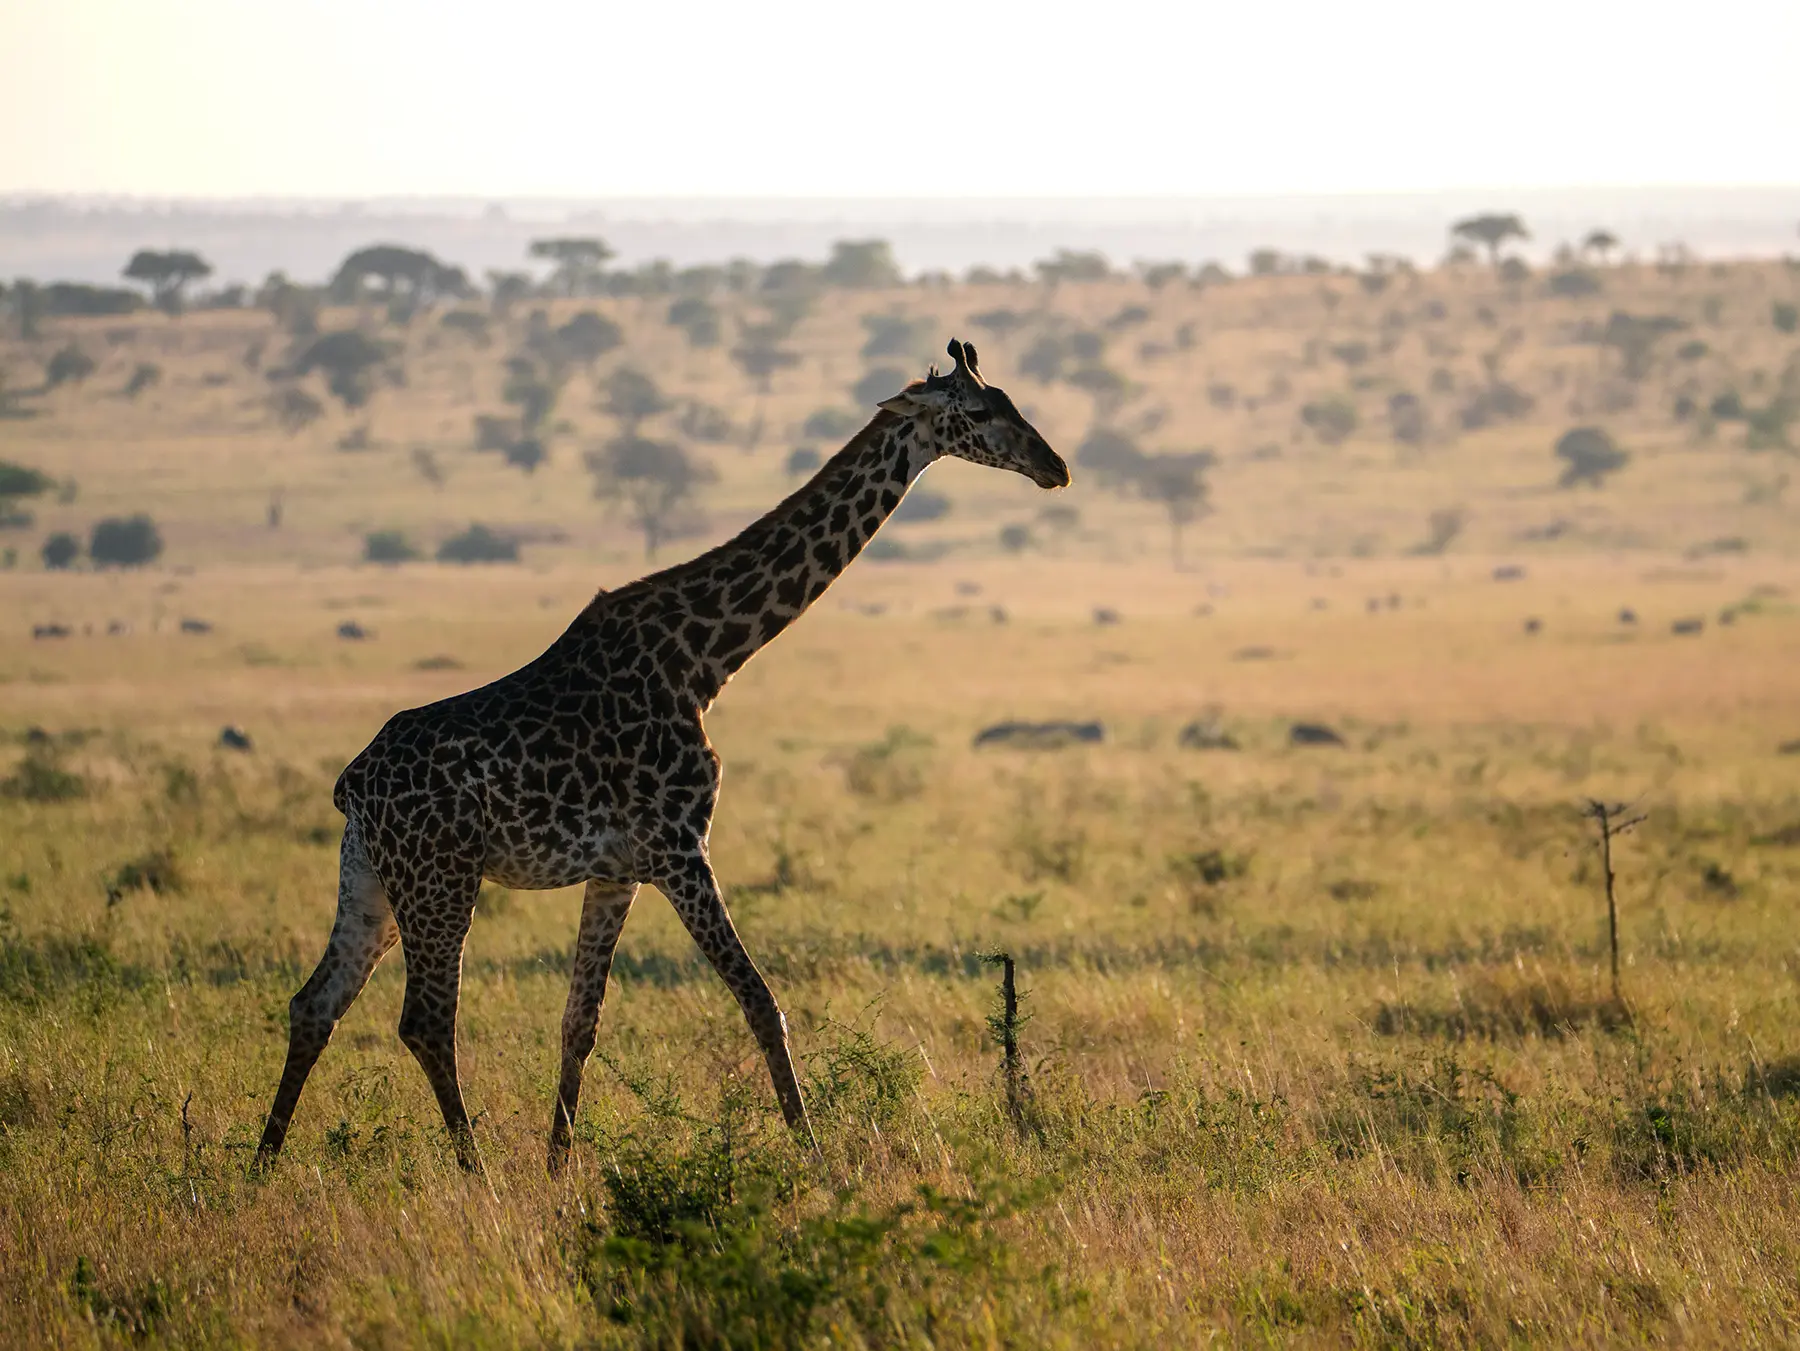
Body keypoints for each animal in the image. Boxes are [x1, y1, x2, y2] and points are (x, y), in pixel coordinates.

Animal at [254, 339, 1069, 1176]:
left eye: (1011, 400)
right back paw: (474, 1171)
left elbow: (580, 1019)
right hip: (439, 877)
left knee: (314, 1002)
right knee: (423, 1018)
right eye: (979, 413)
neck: (706, 658)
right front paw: (813, 1153)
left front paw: (560, 1166)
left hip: (372, 879)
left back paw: (262, 1165)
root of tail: (352, 784)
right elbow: (761, 1000)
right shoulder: (679, 847)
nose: (1056, 467)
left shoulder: (618, 868)